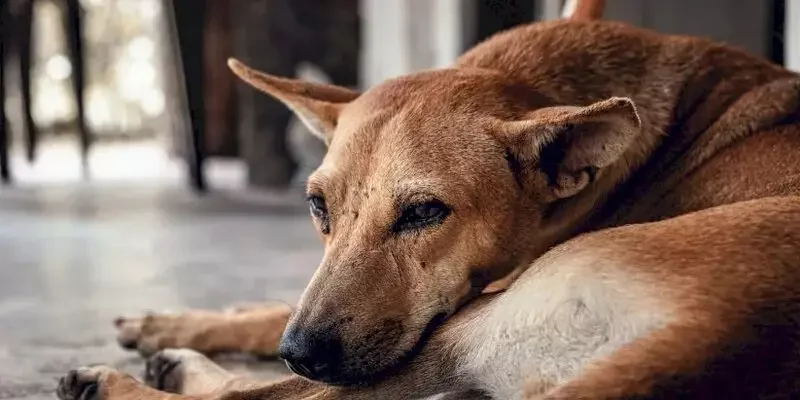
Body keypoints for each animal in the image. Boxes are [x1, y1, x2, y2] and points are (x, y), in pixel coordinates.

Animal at [54, 2, 800, 396]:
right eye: (318, 207)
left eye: (423, 214)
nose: (302, 351)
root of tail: (715, 339)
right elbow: (269, 310)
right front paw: (185, 319)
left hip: (468, 325)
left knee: (254, 393)